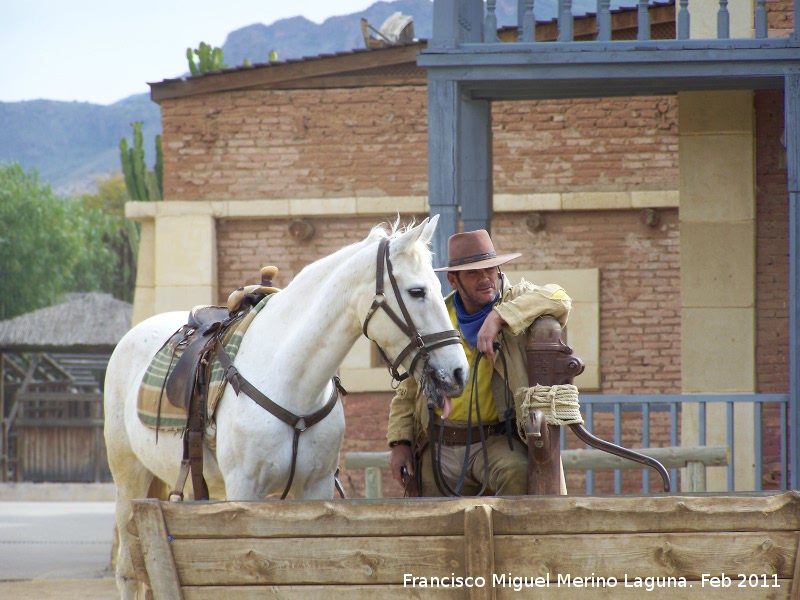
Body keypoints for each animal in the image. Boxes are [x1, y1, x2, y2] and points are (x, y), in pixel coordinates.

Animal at [104, 214, 468, 596]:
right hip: (130, 476)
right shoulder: (244, 490)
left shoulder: (315, 489)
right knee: (128, 569)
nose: (459, 372)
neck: (291, 383)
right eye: (417, 291)